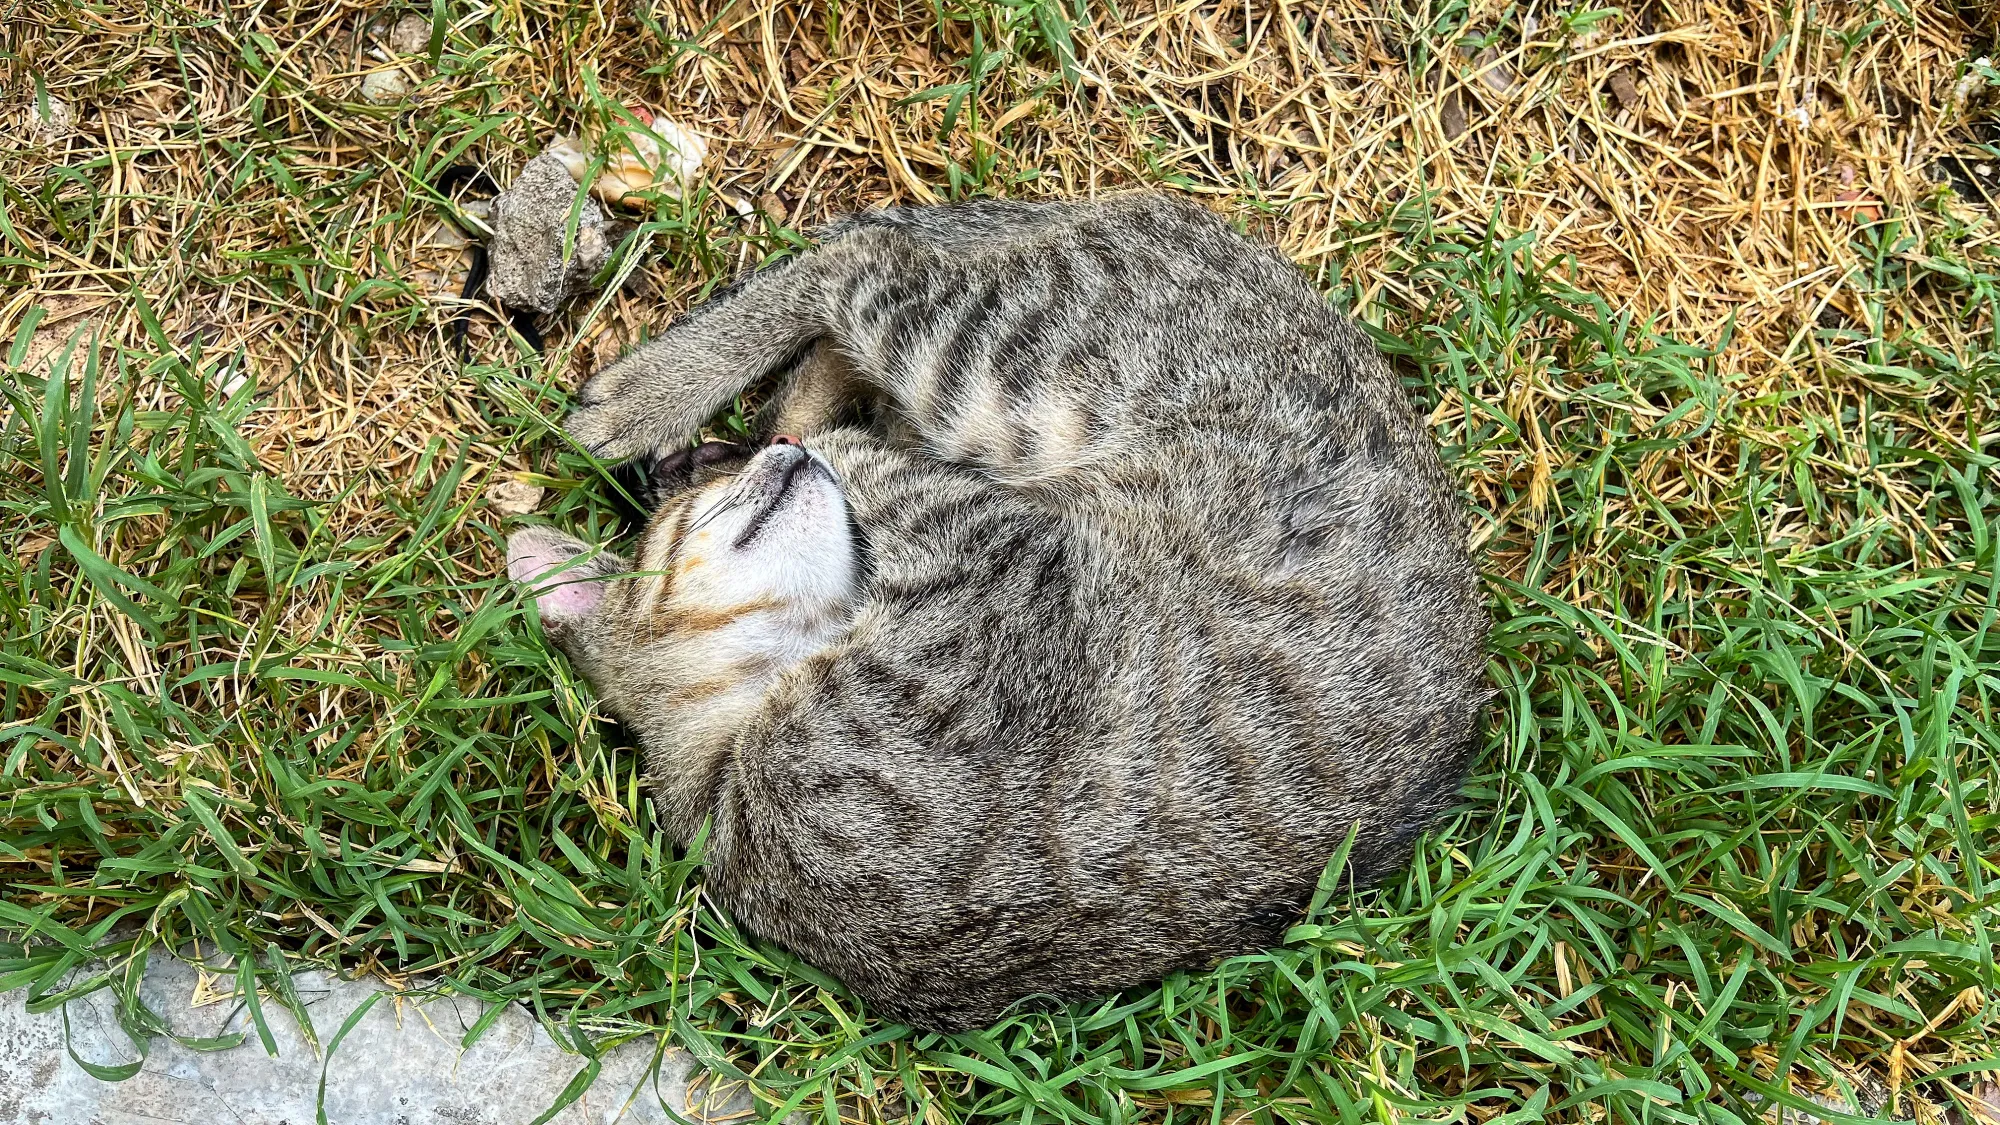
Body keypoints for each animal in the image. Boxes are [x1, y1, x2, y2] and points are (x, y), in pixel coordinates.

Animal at [508, 192, 1496, 1024]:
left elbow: (853, 454)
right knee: (869, 260)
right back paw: (667, 394)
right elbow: (886, 473)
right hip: (1002, 371)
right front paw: (784, 442)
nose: (764, 462)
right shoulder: (994, 576)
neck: (726, 751)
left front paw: (768, 438)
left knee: (865, 267)